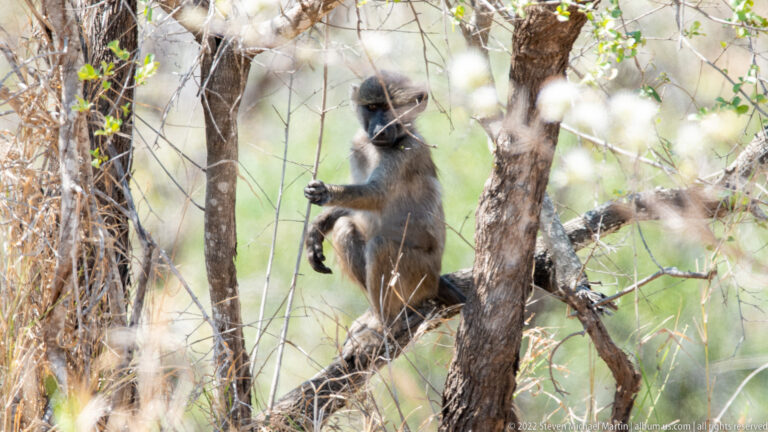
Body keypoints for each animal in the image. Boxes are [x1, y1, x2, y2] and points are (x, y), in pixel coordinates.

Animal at [304, 71, 453, 322]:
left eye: (391, 108)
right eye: (372, 107)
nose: (380, 129)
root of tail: (436, 280)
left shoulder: (408, 151)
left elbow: (376, 195)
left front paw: (326, 192)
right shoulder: (358, 145)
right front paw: (319, 226)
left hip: (421, 277)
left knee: (380, 245)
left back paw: (388, 318)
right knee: (345, 228)